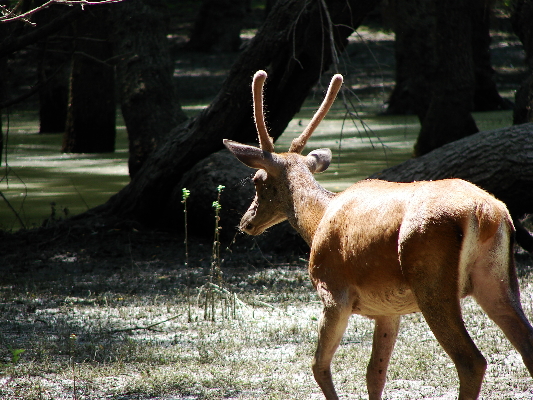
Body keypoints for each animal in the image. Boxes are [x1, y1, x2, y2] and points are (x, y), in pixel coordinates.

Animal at [222, 71, 532, 400]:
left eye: (257, 181)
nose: (246, 222)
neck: (317, 221)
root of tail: (486, 213)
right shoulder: (388, 309)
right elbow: (375, 373)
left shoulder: (333, 291)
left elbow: (319, 365)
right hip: (495, 277)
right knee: (526, 344)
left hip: (432, 279)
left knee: (471, 360)